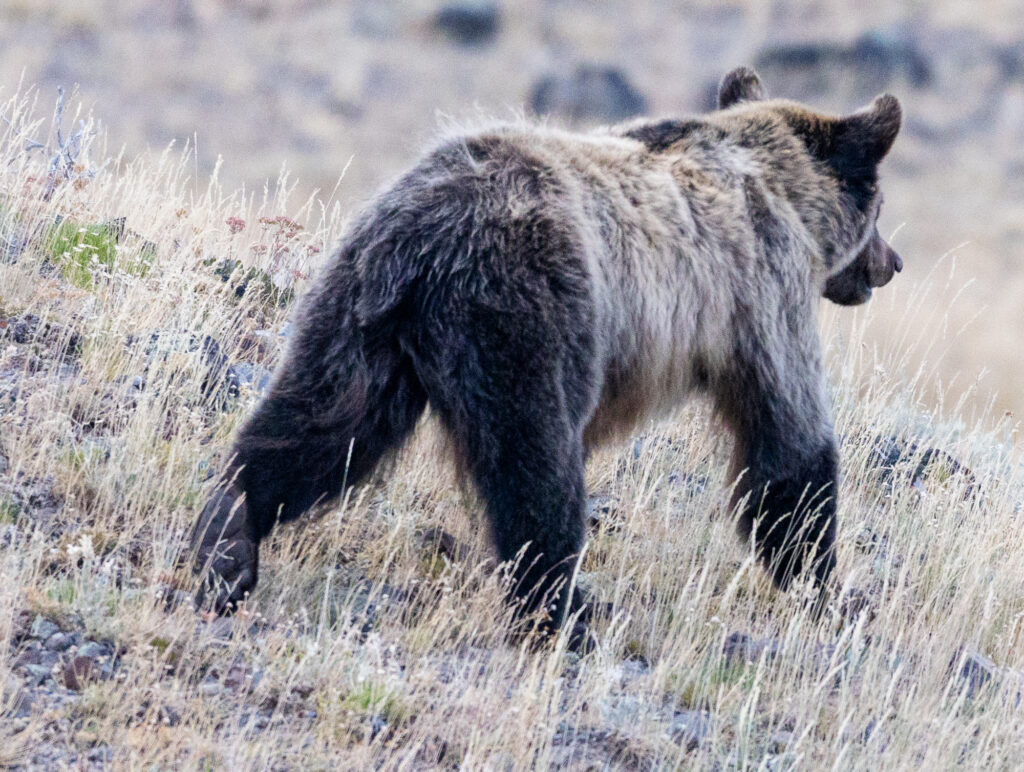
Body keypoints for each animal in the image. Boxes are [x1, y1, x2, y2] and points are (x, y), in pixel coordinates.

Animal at [188, 66, 901, 634]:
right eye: (881, 210)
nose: (891, 262)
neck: (786, 193)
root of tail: (429, 233)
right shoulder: (762, 296)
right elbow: (789, 445)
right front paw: (830, 589)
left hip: (359, 312)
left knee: (316, 424)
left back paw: (226, 545)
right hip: (529, 316)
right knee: (536, 470)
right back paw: (564, 611)